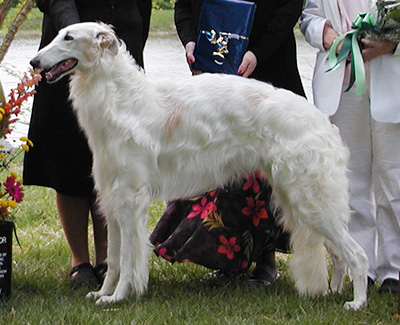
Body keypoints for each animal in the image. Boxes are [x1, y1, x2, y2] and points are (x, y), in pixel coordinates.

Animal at [30, 22, 368, 306]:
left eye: (69, 37)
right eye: (59, 33)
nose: (34, 62)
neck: (123, 100)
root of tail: (324, 123)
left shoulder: (131, 198)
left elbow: (128, 259)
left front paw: (119, 297)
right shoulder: (112, 197)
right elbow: (113, 259)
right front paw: (102, 293)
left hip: (311, 200)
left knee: (358, 254)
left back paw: (357, 302)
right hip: (301, 201)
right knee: (339, 256)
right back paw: (334, 292)